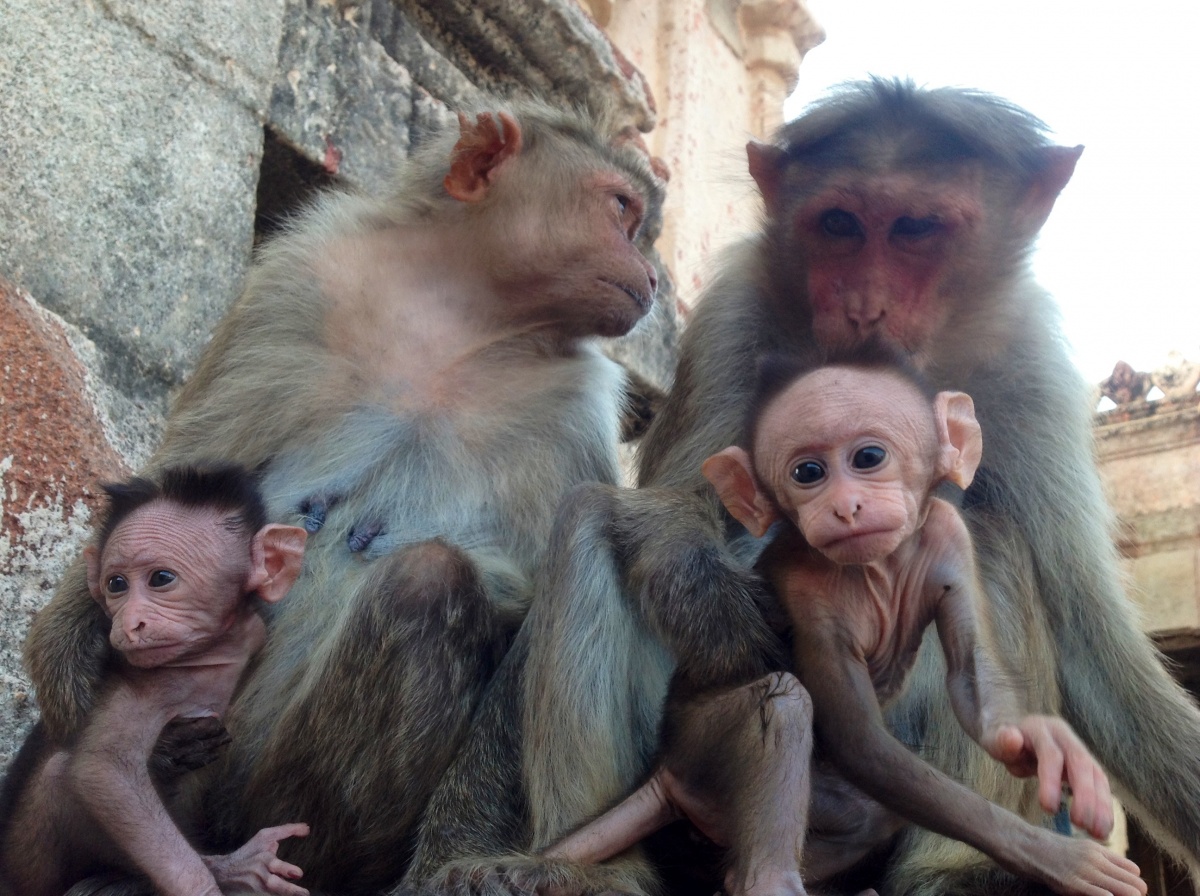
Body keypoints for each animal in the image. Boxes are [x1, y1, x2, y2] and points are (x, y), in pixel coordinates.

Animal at [0, 464, 310, 896]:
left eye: (161, 578)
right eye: (116, 584)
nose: (129, 623)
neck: (210, 654)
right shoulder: (149, 683)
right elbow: (105, 770)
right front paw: (203, 884)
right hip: (30, 866)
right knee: (60, 776)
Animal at [546, 350, 1146, 896]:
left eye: (869, 457)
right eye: (807, 472)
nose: (845, 506)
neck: (878, 568)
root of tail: (668, 774)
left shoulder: (947, 533)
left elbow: (970, 680)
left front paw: (1041, 744)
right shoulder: (809, 594)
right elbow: (860, 740)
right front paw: (1054, 856)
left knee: (868, 815)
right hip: (695, 739)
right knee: (785, 704)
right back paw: (766, 880)